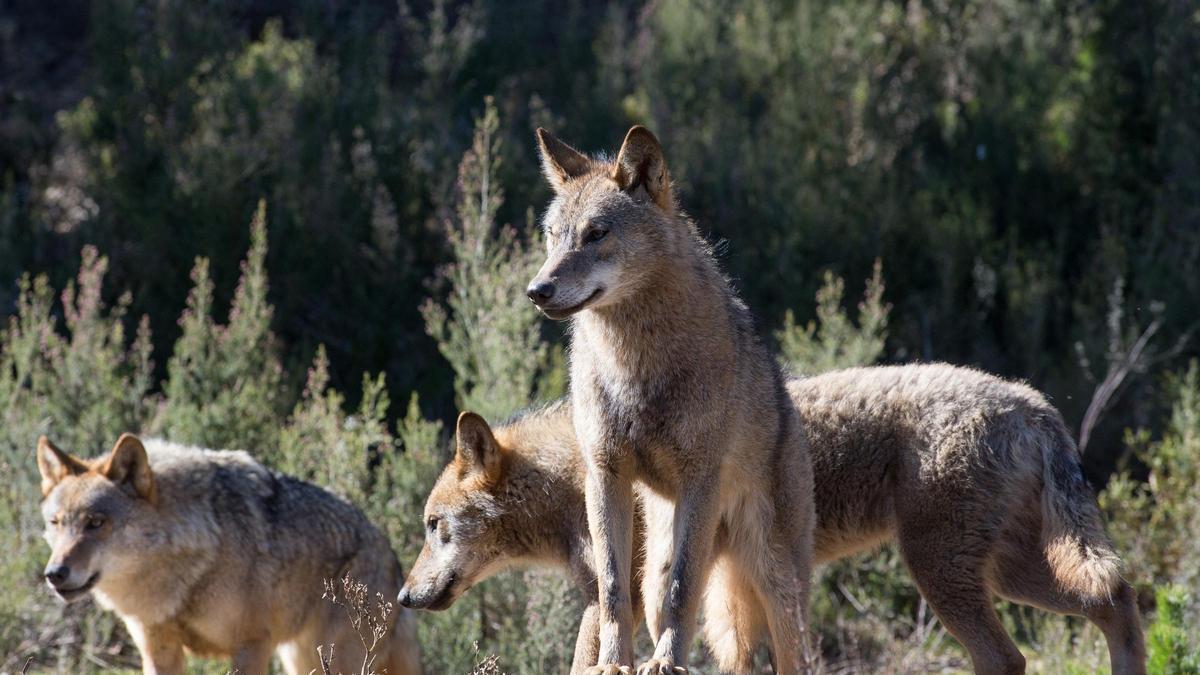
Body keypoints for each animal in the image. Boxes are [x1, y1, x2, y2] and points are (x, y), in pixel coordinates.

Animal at [37, 432, 422, 675]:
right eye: (55, 523)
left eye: (96, 522)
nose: (54, 574)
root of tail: (391, 554)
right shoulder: (159, 651)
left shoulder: (251, 645)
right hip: (303, 659)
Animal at [400, 364, 1145, 675]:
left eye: (435, 527)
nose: (404, 596)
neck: (575, 476)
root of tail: (1032, 402)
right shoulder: (652, 598)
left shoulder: (624, 599)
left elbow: (587, 664)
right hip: (1011, 574)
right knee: (1117, 597)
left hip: (945, 576)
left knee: (1010, 655)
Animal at [526, 126, 817, 674]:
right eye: (553, 235)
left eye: (596, 234)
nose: (537, 289)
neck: (634, 366)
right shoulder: (605, 474)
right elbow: (612, 588)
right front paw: (612, 662)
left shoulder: (700, 477)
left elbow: (686, 589)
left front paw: (663, 663)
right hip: (658, 569)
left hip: (775, 582)